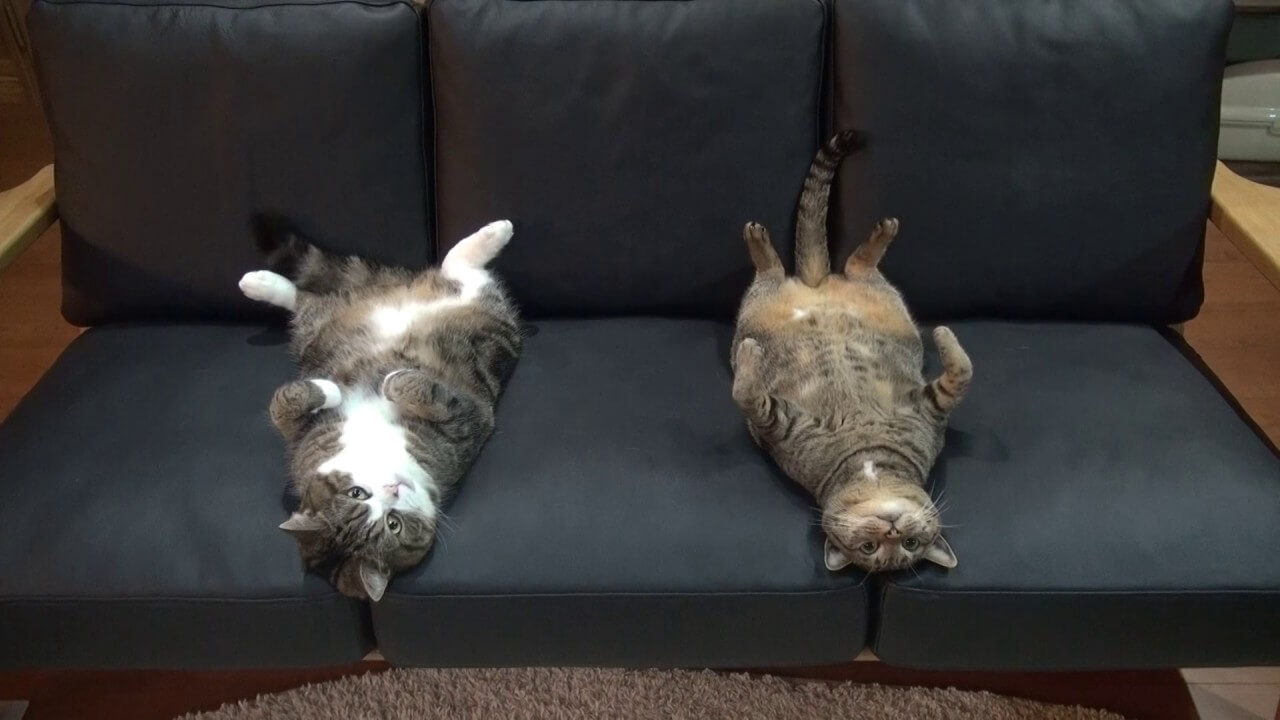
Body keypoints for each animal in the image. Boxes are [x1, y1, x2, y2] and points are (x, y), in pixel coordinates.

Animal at [239, 215, 522, 600]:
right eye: (393, 523)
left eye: (356, 492)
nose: (394, 489)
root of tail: (387, 290)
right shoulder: (467, 421)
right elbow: (281, 404)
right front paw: (343, 387)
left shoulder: (466, 419)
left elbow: (281, 404)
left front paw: (339, 388)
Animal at [731, 131, 972, 573]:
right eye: (869, 547)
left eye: (911, 544)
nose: (892, 531)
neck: (869, 463)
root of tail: (815, 282)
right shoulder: (786, 424)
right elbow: (962, 369)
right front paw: (944, 333)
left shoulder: (926, 411)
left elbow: (747, 392)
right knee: (827, 265)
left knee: (843, 265)